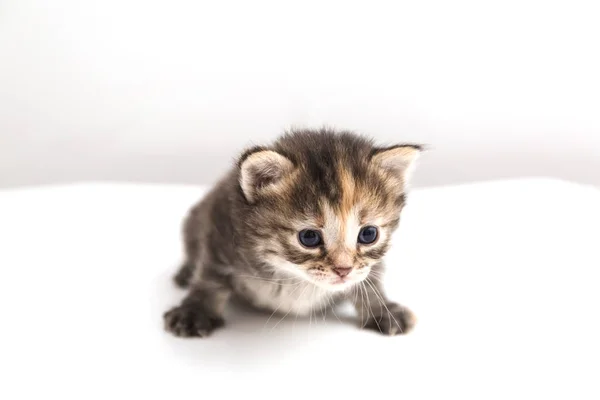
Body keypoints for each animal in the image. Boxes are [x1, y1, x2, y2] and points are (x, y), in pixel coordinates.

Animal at [164, 129, 422, 338]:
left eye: (368, 234)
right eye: (309, 237)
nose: (344, 270)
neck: (292, 276)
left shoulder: (368, 267)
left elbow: (370, 282)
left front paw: (383, 310)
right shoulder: (221, 227)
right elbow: (209, 277)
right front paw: (194, 312)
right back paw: (185, 272)